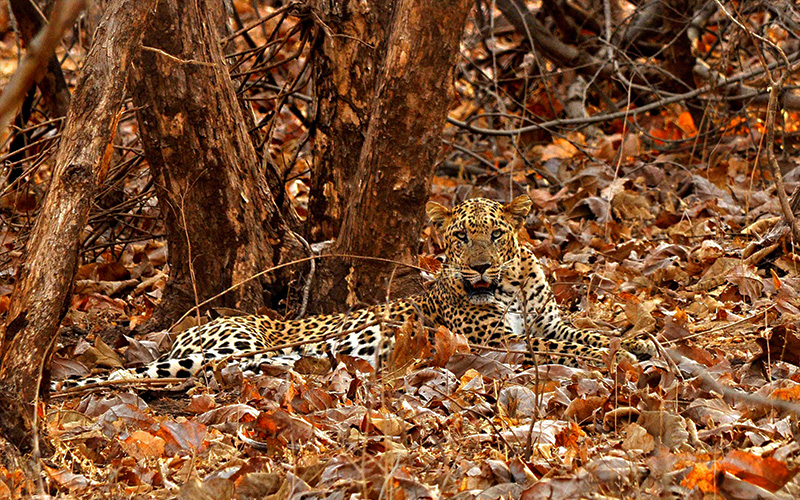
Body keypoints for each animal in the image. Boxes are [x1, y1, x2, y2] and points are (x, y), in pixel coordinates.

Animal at [57, 197, 656, 388]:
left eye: (494, 234)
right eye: (461, 238)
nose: (480, 267)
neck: (510, 285)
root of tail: (181, 334)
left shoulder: (549, 322)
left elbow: (583, 334)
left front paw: (639, 339)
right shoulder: (499, 343)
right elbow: (567, 349)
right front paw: (629, 350)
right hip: (237, 338)